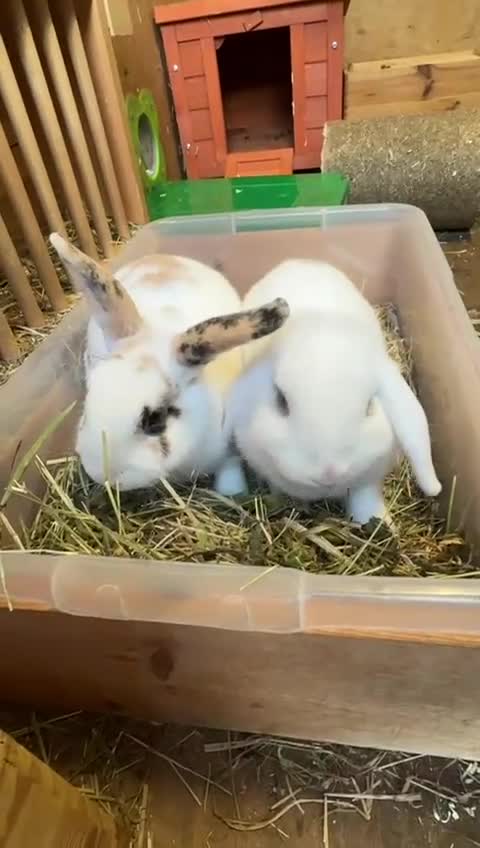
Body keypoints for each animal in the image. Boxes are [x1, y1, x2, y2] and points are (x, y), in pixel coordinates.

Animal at [49, 233, 289, 495]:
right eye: (89, 400)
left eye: (155, 420)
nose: (102, 475)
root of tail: (161, 256)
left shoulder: (227, 445)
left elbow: (230, 466)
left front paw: (233, 493)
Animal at [227, 258, 441, 525]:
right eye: (281, 401)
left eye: (369, 406)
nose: (329, 473)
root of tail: (303, 261)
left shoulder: (368, 479)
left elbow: (364, 499)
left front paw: (379, 523)